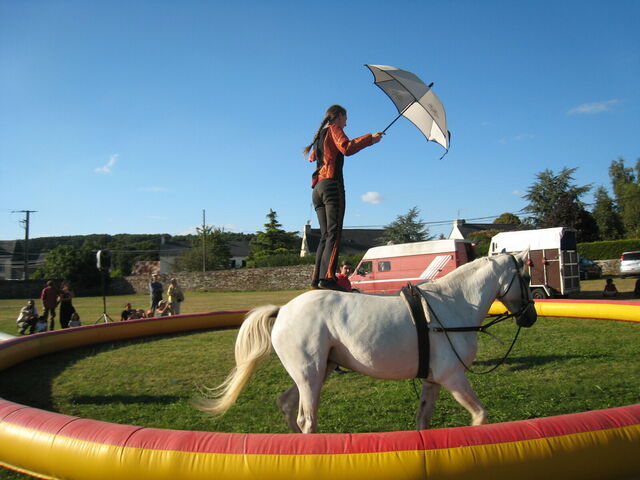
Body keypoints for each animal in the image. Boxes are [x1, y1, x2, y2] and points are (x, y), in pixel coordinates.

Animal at [197, 251, 537, 433]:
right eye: (527, 278)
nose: (531, 317)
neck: (453, 305)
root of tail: (283, 311)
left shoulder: (433, 381)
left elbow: (423, 421)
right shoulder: (453, 378)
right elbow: (480, 416)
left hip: (317, 372)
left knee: (287, 405)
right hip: (310, 376)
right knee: (307, 419)